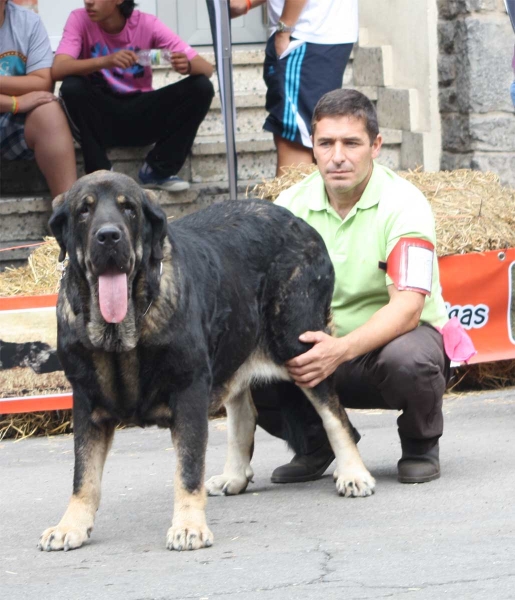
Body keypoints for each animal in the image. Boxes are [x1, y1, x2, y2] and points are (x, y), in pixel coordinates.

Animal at [37, 170, 374, 552]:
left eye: (129, 209)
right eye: (84, 210)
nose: (108, 235)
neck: (124, 327)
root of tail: (301, 224)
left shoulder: (189, 391)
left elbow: (188, 468)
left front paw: (188, 526)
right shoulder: (86, 401)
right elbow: (84, 473)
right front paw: (71, 525)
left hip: (299, 346)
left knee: (334, 413)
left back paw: (353, 473)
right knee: (244, 412)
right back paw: (234, 476)